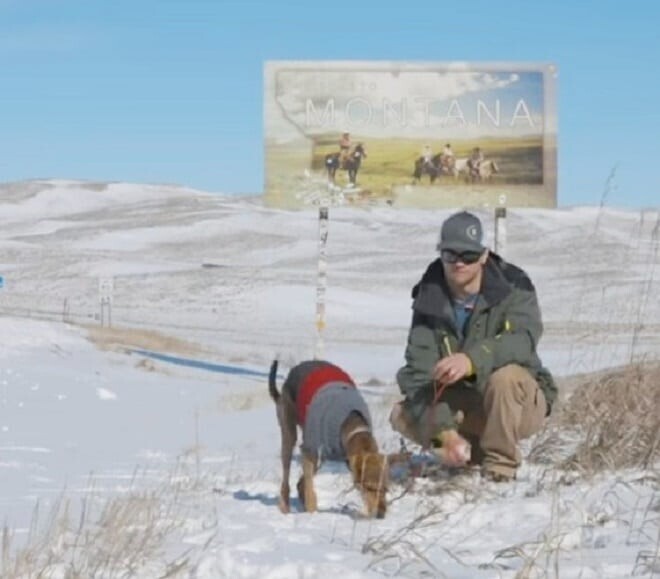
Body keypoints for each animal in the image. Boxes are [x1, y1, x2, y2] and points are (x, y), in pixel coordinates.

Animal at [268, 360, 386, 520]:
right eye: (369, 487)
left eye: (385, 487)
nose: (381, 514)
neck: (351, 423)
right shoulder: (309, 449)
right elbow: (310, 491)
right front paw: (312, 514)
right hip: (289, 432)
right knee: (288, 477)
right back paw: (285, 507)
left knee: (301, 483)